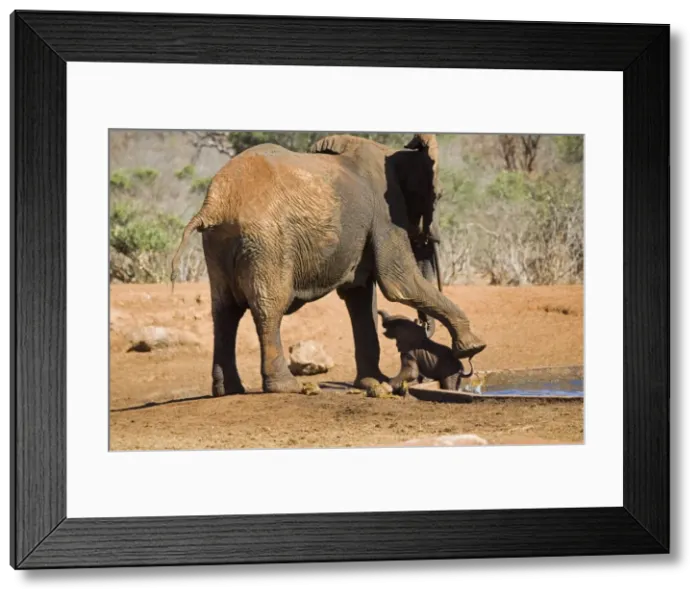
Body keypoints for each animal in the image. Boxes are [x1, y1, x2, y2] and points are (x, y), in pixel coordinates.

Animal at [170, 133, 486, 396]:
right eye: (439, 195)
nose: (421, 327)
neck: (395, 151)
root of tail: (215, 203)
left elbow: (359, 295)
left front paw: (373, 383)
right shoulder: (385, 215)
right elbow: (399, 283)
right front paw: (474, 345)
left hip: (218, 244)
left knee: (224, 310)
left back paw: (229, 390)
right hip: (266, 240)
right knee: (269, 307)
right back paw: (287, 387)